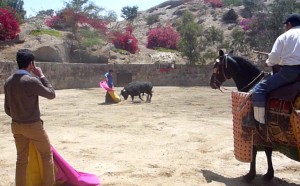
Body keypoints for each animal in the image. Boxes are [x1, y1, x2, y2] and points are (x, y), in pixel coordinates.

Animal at [209, 49, 300, 182]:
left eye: (216, 66)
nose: (211, 83)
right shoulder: (265, 134)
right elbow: (268, 151)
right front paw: (269, 174)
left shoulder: (256, 131)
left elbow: (255, 151)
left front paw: (251, 175)